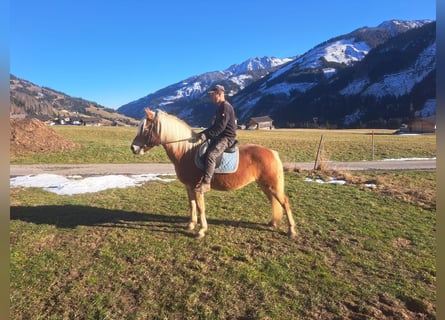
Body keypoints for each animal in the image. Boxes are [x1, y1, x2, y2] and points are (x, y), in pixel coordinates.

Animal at [129, 109, 294, 239]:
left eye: (145, 129)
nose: (133, 148)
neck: (186, 152)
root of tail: (272, 152)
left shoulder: (197, 187)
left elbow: (200, 207)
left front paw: (201, 230)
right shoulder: (189, 187)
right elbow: (191, 205)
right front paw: (191, 224)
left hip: (272, 185)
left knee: (284, 202)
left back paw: (291, 231)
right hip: (265, 185)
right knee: (273, 201)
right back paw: (273, 223)